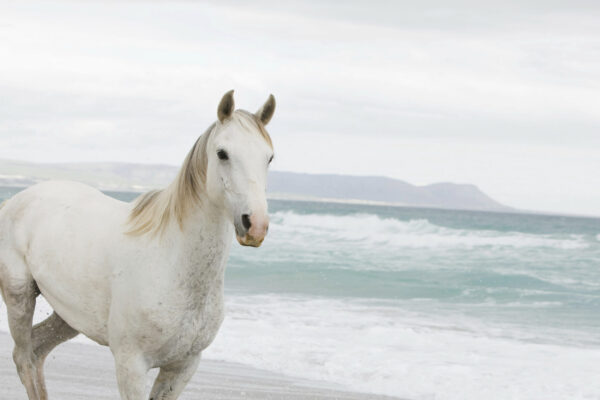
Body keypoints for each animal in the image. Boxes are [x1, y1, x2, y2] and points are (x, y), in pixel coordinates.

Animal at [0, 91, 276, 400]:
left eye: (269, 157)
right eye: (222, 153)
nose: (255, 225)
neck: (172, 261)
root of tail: (15, 200)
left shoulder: (182, 367)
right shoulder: (131, 365)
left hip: (68, 317)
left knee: (37, 350)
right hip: (19, 297)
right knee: (24, 356)